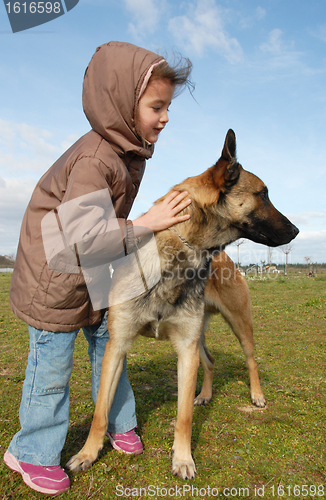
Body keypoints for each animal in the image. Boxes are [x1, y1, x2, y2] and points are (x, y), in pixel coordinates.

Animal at [67, 129, 300, 480]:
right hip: (199, 336)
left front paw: (183, 459)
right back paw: (205, 394)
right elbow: (100, 412)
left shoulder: (185, 352)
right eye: (262, 194)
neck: (181, 250)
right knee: (211, 361)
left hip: (239, 325)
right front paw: (87, 454)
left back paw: (256, 395)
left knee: (250, 359)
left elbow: (184, 416)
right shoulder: (117, 346)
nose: (297, 230)